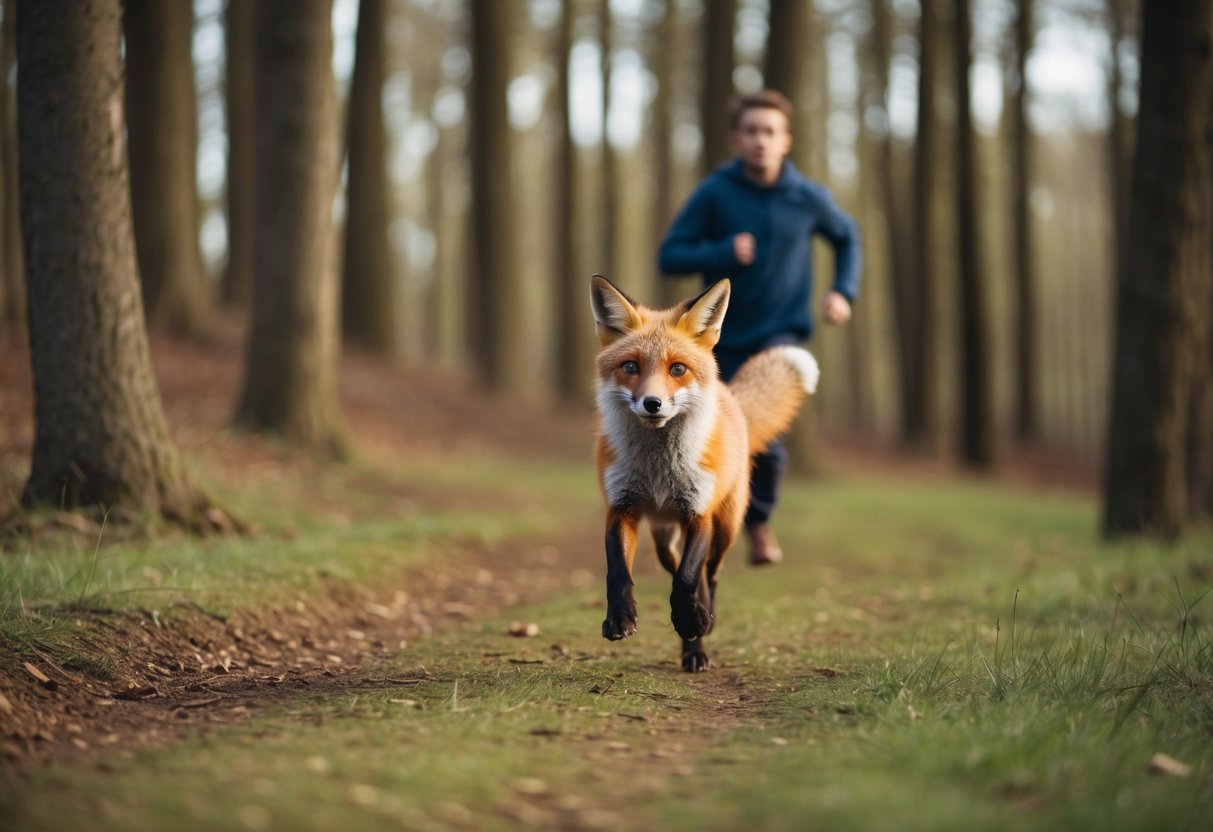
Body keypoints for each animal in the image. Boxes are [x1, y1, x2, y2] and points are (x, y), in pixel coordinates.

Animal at [590, 274, 819, 672]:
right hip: (664, 537)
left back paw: (700, 629)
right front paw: (620, 618)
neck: (658, 469)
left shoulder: (699, 512)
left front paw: (693, 621)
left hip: (725, 528)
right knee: (675, 568)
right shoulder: (621, 507)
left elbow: (686, 581)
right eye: (630, 367)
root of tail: (729, 396)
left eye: (677, 369)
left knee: (708, 576)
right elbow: (618, 570)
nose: (652, 403)